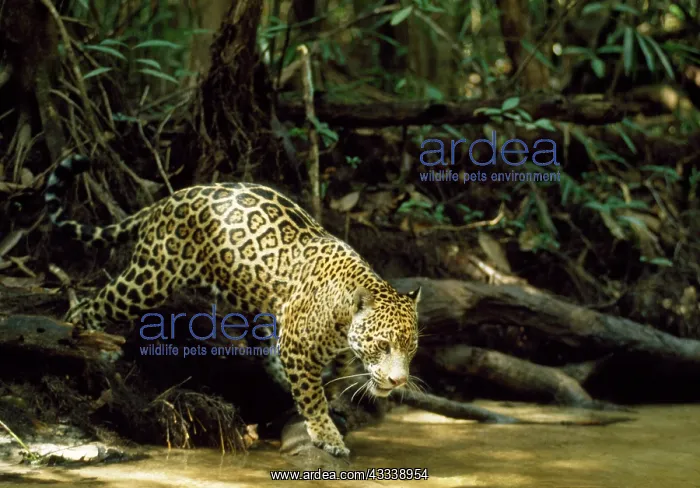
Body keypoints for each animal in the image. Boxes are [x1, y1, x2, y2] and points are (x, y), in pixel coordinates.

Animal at [44, 154, 421, 458]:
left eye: (411, 349)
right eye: (383, 344)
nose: (398, 381)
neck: (343, 316)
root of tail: (169, 198)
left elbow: (337, 378)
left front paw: (340, 400)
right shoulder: (299, 347)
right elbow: (312, 395)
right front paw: (327, 434)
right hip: (150, 276)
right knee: (94, 304)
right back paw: (86, 344)